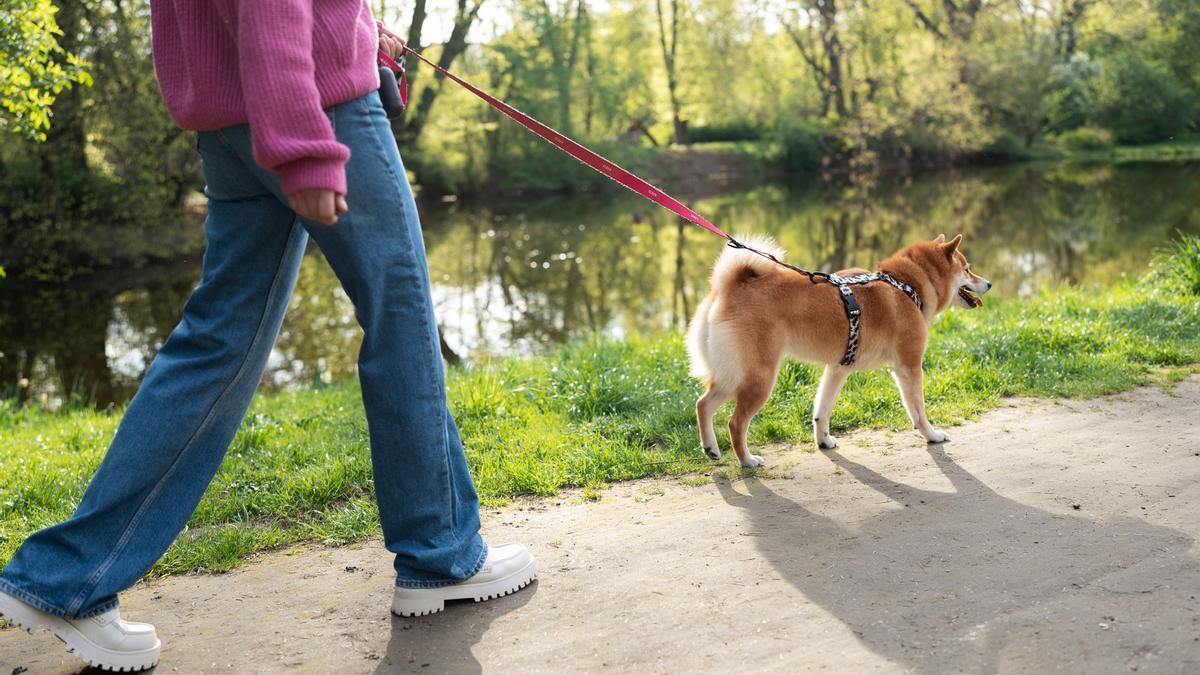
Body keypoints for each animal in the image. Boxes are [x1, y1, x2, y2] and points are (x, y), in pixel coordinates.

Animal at [691, 234, 988, 466]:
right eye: (967, 269)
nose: (989, 283)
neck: (905, 284)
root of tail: (728, 289)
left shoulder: (837, 369)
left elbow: (822, 409)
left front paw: (823, 441)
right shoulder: (909, 366)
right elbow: (918, 410)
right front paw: (932, 435)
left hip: (731, 375)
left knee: (703, 404)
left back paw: (711, 448)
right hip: (759, 378)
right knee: (735, 422)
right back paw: (747, 460)